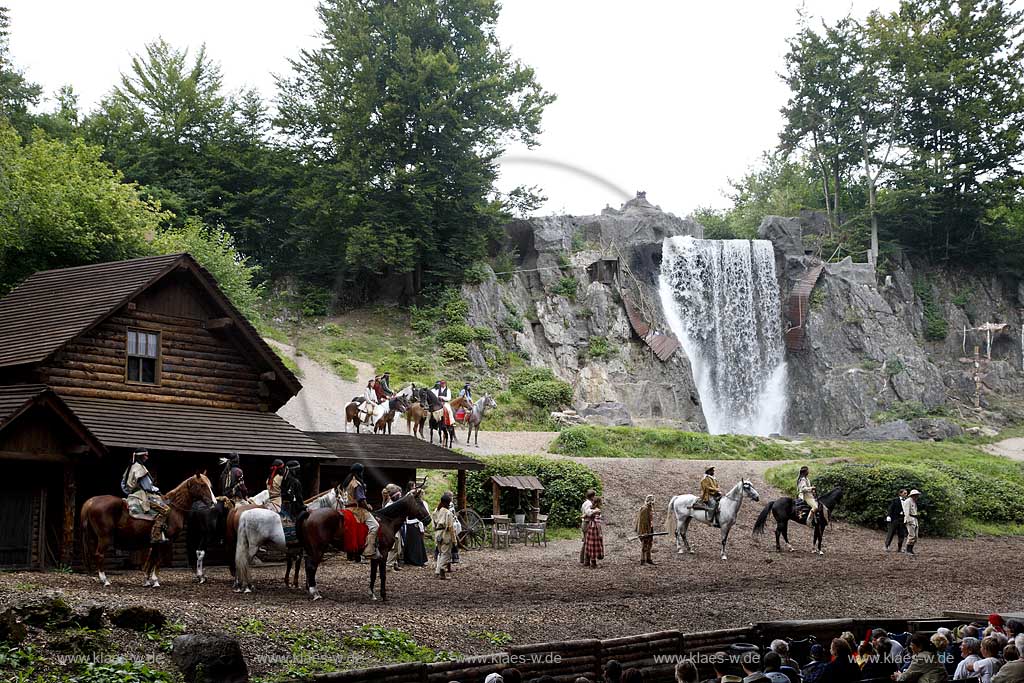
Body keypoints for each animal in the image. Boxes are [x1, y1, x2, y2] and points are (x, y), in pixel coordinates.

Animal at [80, 471, 215, 589]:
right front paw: (155, 581)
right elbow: (158, 560)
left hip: (94, 537)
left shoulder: (155, 542)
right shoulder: (166, 541)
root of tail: (91, 501)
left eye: (210, 485)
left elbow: (151, 560)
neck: (174, 509)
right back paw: (105, 580)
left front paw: (146, 580)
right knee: (99, 555)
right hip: (105, 537)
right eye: (202, 485)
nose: (213, 502)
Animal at [301, 491, 434, 602]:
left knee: (308, 566)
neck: (387, 521)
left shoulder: (375, 556)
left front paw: (372, 593)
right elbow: (383, 574)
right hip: (318, 549)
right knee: (311, 567)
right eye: (420, 503)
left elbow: (373, 574)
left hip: (311, 549)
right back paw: (315, 592)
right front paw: (383, 595)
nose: (428, 520)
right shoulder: (384, 553)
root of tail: (310, 514)